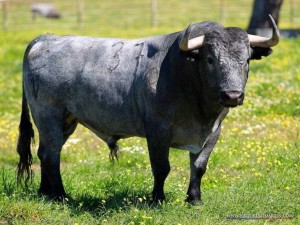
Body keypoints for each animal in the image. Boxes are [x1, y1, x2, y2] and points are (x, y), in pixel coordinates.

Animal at [16, 14, 278, 203]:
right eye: (210, 59)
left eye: (246, 60)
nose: (232, 95)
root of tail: (46, 39)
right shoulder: (157, 131)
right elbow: (161, 167)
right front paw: (157, 199)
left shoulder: (213, 132)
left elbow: (199, 167)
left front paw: (194, 199)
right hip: (48, 115)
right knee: (51, 154)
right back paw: (60, 195)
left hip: (66, 120)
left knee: (46, 151)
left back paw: (45, 193)